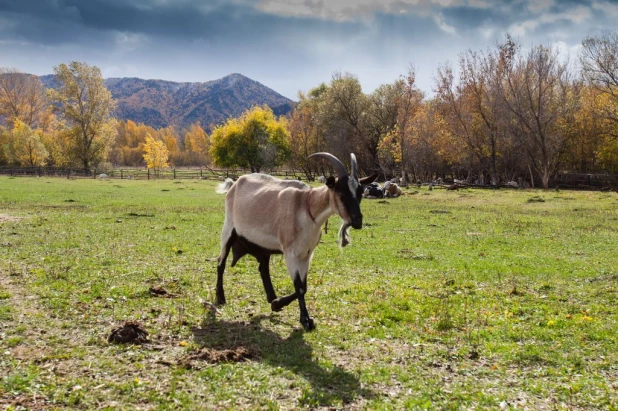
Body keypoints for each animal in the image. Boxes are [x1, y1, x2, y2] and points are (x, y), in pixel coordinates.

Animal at [214, 153, 372, 330]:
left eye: (360, 192)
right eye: (340, 191)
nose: (357, 221)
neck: (307, 205)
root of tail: (234, 185)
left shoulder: (306, 255)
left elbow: (304, 286)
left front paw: (278, 304)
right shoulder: (291, 253)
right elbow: (300, 287)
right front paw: (305, 320)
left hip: (262, 245)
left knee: (263, 268)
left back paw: (271, 297)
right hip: (228, 229)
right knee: (221, 262)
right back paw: (220, 298)